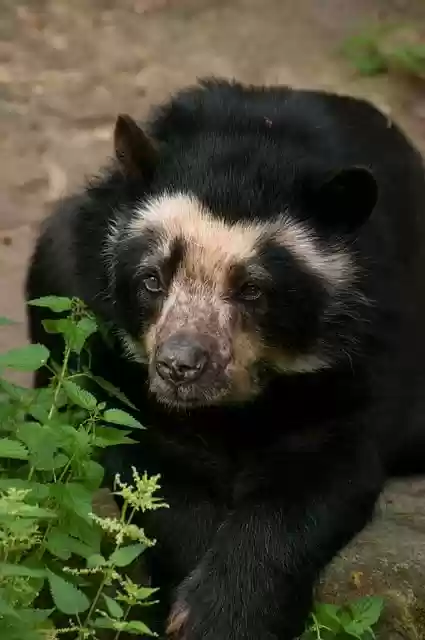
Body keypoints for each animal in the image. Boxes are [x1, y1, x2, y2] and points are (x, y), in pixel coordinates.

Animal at [25, 78, 425, 639]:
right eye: (152, 280)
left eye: (253, 290)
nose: (179, 366)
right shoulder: (113, 353)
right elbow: (153, 465)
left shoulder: (364, 351)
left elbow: (320, 474)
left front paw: (227, 616)